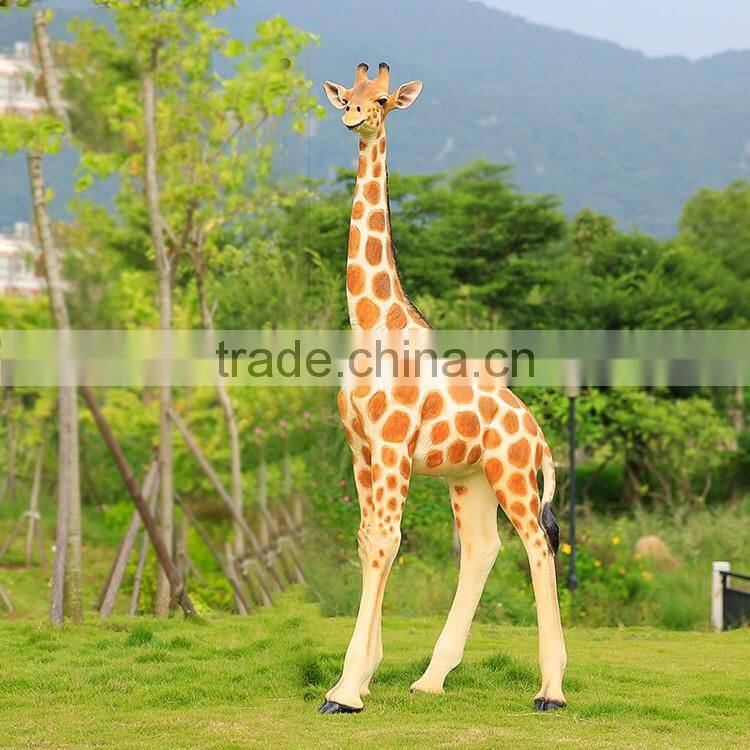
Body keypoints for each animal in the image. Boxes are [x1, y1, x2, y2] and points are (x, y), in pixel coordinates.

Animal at [318, 62, 567, 715]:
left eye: (382, 99)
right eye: (347, 95)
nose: (353, 117)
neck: (370, 326)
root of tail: (537, 433)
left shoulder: (393, 444)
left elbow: (386, 541)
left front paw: (345, 690)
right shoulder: (359, 447)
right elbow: (368, 540)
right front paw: (364, 674)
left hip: (511, 473)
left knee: (538, 545)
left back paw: (552, 690)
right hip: (469, 478)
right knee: (482, 549)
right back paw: (432, 677)